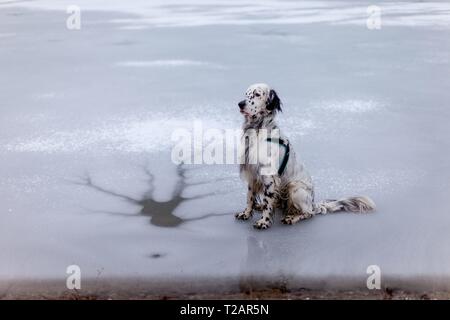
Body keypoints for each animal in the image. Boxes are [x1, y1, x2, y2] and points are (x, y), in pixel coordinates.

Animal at [236, 83, 376, 230]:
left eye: (257, 94)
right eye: (246, 94)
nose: (240, 104)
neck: (258, 130)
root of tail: (314, 203)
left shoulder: (269, 177)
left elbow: (268, 203)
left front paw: (264, 221)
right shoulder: (251, 173)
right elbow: (250, 197)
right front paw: (246, 213)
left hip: (295, 189)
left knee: (308, 213)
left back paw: (291, 218)